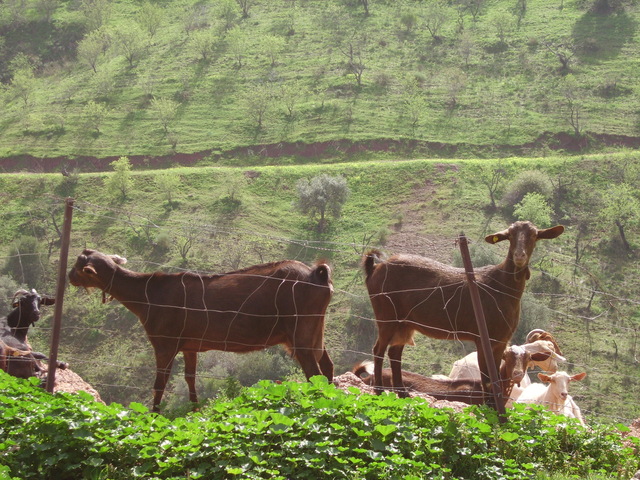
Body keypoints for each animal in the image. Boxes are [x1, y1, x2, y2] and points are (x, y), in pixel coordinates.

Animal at [69, 249, 336, 410]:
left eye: (80, 266)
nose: (69, 276)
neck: (147, 295)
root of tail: (318, 275)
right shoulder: (190, 346)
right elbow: (190, 377)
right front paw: (195, 409)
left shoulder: (164, 343)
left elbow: (160, 382)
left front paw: (153, 414)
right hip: (315, 328)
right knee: (326, 365)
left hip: (301, 329)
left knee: (313, 372)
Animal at [362, 221, 564, 402]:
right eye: (510, 235)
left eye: (534, 235)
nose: (519, 256)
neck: (501, 286)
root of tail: (375, 268)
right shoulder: (483, 338)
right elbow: (486, 378)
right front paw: (490, 408)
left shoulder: (500, 341)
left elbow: (495, 376)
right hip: (386, 315)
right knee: (378, 349)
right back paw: (379, 391)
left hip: (405, 324)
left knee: (395, 353)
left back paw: (403, 393)